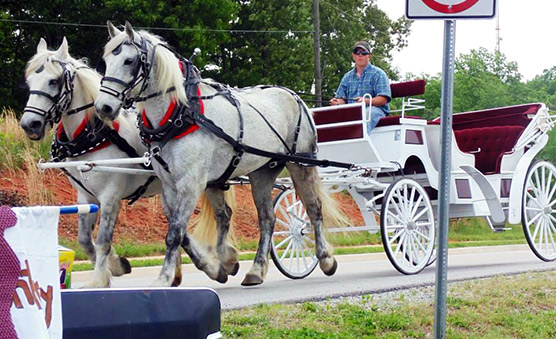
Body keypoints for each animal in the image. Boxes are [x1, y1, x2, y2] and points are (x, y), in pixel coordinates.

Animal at [93, 21, 340, 286]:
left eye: (129, 61)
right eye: (106, 60)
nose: (103, 107)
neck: (180, 113)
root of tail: (295, 96)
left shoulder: (191, 183)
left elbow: (175, 233)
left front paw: (164, 278)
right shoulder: (169, 185)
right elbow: (180, 231)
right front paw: (220, 265)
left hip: (301, 163)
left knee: (313, 207)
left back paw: (326, 259)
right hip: (262, 171)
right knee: (266, 218)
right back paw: (256, 270)